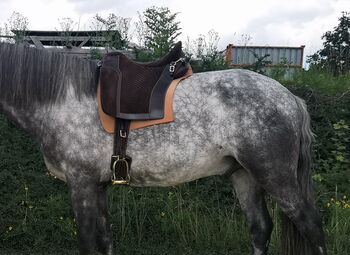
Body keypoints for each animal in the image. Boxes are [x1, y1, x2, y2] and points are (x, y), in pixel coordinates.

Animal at [0, 42, 326, 254]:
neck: (61, 99)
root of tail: (290, 98)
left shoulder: (81, 184)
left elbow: (89, 244)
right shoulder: (98, 186)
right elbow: (105, 241)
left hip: (276, 177)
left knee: (312, 227)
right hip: (244, 176)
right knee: (260, 229)